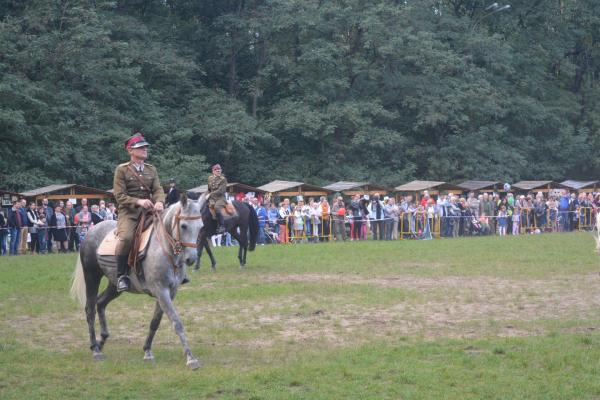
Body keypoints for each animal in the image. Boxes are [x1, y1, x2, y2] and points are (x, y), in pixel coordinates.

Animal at [71, 194, 204, 368]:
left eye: (201, 227)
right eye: (184, 226)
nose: (191, 259)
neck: (165, 248)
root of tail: (91, 231)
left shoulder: (170, 292)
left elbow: (155, 322)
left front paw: (147, 351)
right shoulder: (161, 291)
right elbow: (176, 322)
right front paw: (190, 358)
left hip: (115, 285)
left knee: (100, 303)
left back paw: (101, 341)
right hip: (92, 277)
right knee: (90, 309)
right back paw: (95, 349)